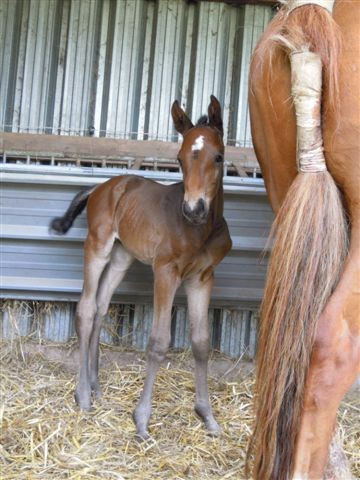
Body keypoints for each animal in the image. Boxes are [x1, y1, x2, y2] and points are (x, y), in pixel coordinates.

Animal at [50, 95, 231, 440]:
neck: (199, 230)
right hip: (98, 247)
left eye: (218, 156)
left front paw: (208, 417)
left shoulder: (202, 277)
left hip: (122, 257)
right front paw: (142, 420)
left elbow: (201, 342)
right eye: (179, 158)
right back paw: (82, 396)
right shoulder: (166, 272)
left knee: (101, 306)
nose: (194, 209)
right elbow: (159, 342)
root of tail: (100, 188)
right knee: (86, 309)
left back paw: (95, 387)